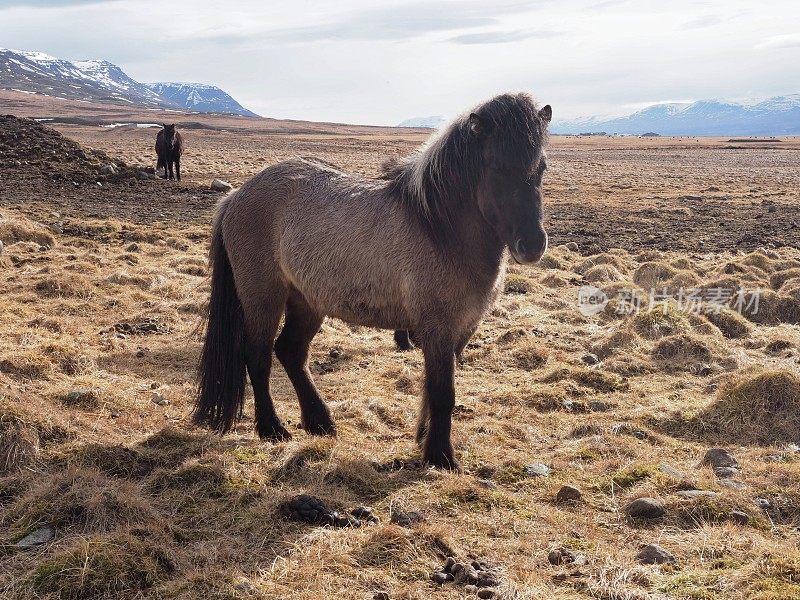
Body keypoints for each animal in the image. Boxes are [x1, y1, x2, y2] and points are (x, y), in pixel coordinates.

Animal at [194, 92, 552, 468]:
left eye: (541, 167)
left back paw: (320, 422)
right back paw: (272, 429)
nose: (532, 244)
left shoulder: (461, 330)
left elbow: (432, 388)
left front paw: (424, 440)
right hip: (263, 297)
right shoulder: (438, 328)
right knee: (258, 356)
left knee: (290, 352)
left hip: (306, 301)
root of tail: (235, 196)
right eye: (496, 167)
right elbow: (443, 393)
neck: (440, 229)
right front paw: (441, 457)